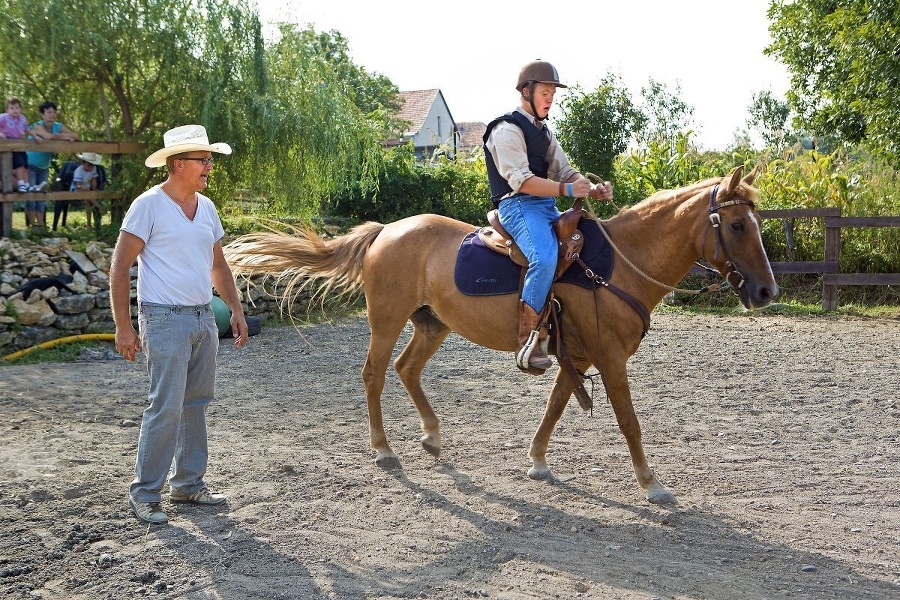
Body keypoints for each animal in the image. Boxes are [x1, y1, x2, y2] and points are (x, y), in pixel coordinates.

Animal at [223, 166, 772, 504]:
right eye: (737, 225)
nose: (766, 290)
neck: (614, 266)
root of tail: (385, 231)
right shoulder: (610, 358)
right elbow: (629, 422)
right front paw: (652, 485)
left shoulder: (577, 356)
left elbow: (555, 405)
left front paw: (537, 461)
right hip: (387, 319)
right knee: (374, 373)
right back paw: (384, 449)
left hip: (433, 323)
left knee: (405, 369)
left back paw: (432, 436)